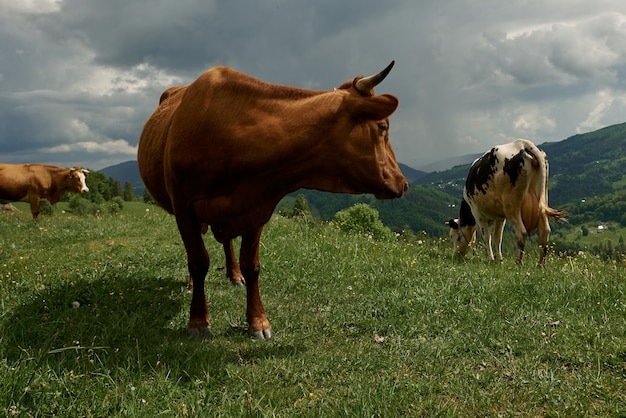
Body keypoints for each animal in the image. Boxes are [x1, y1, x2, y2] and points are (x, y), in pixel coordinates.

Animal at [138, 61, 408, 340]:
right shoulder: (183, 207)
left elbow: (252, 265)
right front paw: (198, 321)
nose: (402, 182)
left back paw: (234, 275)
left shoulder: (257, 206)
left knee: (226, 242)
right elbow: (198, 261)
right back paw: (193, 284)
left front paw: (258, 322)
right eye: (383, 126)